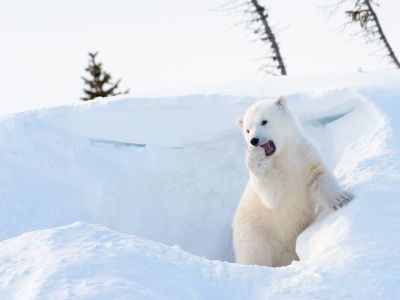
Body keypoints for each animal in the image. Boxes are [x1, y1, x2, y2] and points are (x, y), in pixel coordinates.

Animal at [233, 97, 352, 266]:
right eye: (247, 130)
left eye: (264, 121)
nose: (254, 141)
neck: (283, 154)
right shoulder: (276, 175)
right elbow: (272, 195)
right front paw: (255, 157)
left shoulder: (304, 155)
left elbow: (319, 177)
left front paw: (341, 199)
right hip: (255, 233)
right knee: (254, 254)